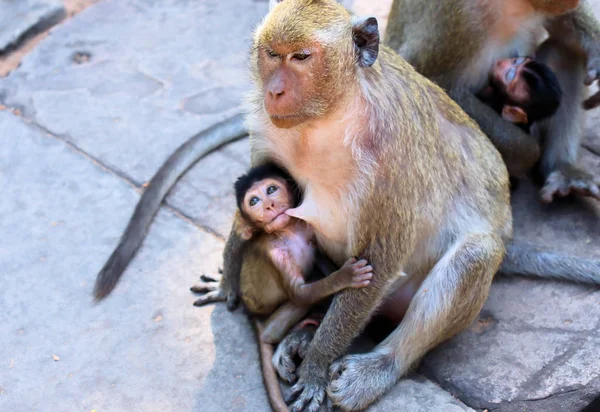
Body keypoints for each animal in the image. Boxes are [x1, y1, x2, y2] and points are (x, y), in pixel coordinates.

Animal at [384, 0, 600, 203]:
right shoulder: (458, 16)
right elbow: (436, 83)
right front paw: (528, 152)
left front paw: (596, 51)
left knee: (565, 51)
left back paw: (563, 169)